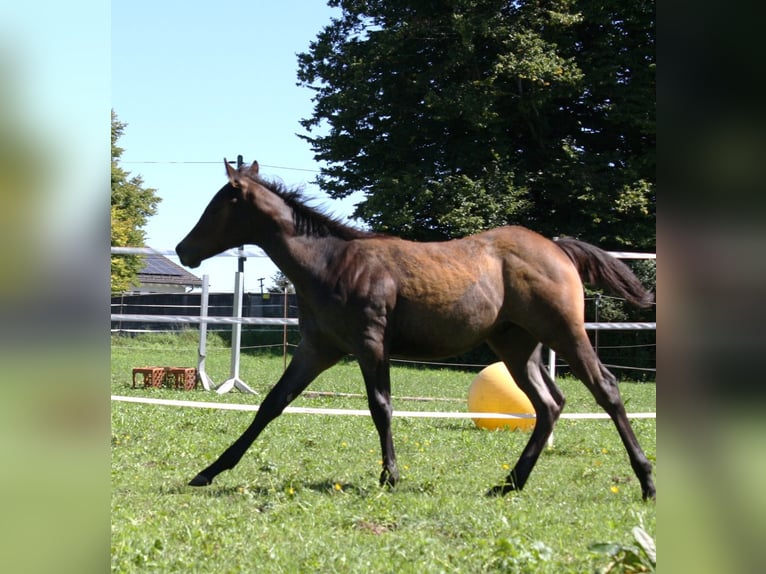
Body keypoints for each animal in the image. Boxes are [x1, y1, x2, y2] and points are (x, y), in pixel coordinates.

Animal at [176, 159, 656, 500]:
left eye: (217, 205)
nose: (184, 249)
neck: (329, 263)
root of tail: (557, 248)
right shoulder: (319, 347)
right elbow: (273, 403)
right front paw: (208, 471)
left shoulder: (370, 342)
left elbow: (381, 406)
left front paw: (390, 476)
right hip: (516, 344)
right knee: (549, 404)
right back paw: (508, 483)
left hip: (564, 332)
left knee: (605, 388)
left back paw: (647, 481)